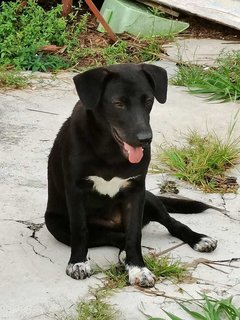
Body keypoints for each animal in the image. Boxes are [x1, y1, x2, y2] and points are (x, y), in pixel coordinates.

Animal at [45, 63, 218, 288]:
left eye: (149, 101)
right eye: (118, 103)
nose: (145, 139)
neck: (110, 150)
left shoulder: (136, 191)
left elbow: (134, 235)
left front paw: (138, 268)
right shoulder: (76, 191)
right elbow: (81, 230)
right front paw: (78, 263)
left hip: (150, 200)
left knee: (170, 223)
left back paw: (199, 239)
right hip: (56, 225)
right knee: (112, 236)